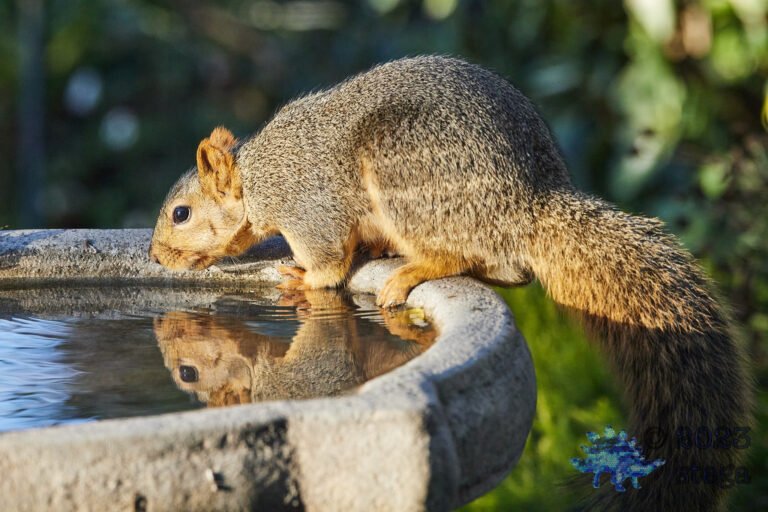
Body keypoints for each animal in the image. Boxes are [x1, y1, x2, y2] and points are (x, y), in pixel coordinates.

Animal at [149, 56, 751, 511]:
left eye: (180, 214)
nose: (155, 256)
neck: (257, 183)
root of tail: (529, 206)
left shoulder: (309, 208)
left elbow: (328, 265)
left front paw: (302, 280)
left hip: (405, 168)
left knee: (470, 254)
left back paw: (414, 270)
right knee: (504, 270)